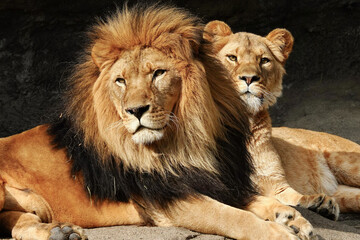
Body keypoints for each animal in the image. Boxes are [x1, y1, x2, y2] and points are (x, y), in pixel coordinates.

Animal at [0, 4, 312, 240]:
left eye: (158, 73)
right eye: (121, 81)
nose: (136, 110)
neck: (185, 141)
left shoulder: (212, 179)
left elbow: (251, 199)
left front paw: (291, 217)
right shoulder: (169, 201)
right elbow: (234, 217)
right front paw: (280, 233)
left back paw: (61, 232)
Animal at [204, 19, 360, 220]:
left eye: (264, 60)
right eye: (232, 57)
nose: (249, 78)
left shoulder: (277, 186)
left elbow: (297, 197)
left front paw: (319, 203)